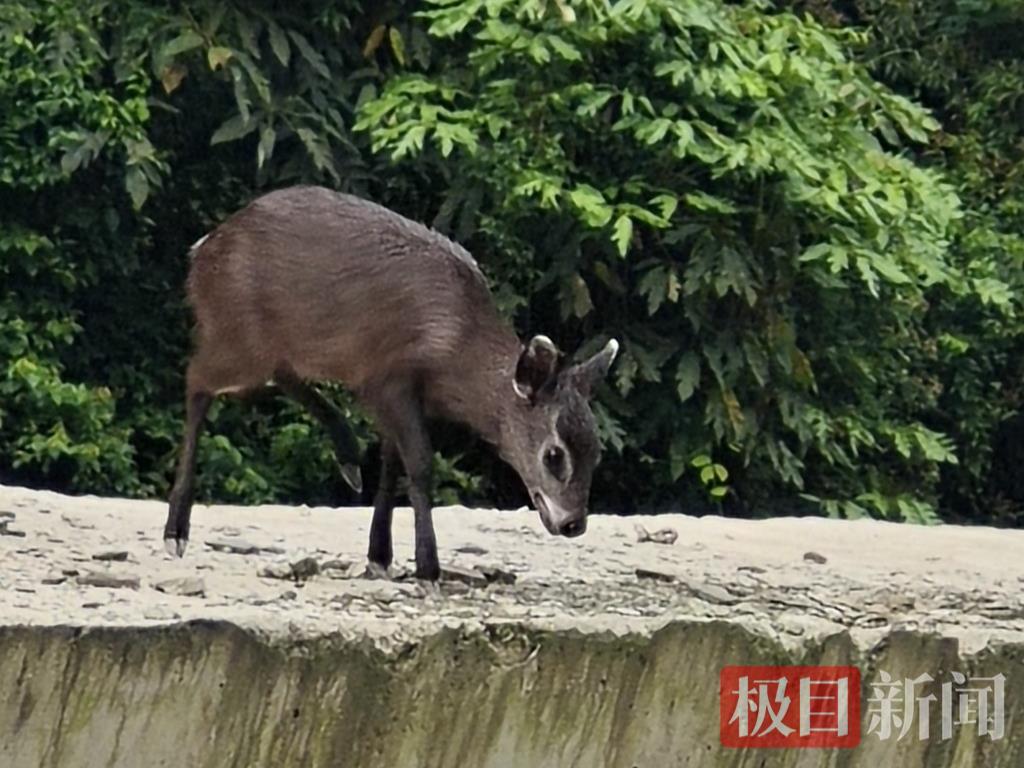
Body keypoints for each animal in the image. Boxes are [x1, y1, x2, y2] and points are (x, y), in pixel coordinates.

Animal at [164, 185, 619, 580]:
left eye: (597, 451)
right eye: (554, 455)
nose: (574, 522)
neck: (452, 344)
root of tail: (200, 251)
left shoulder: (396, 392)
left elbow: (390, 465)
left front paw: (379, 556)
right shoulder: (390, 378)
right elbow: (419, 464)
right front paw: (427, 569)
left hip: (272, 346)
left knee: (277, 375)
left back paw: (348, 457)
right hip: (238, 335)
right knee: (197, 379)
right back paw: (175, 532)